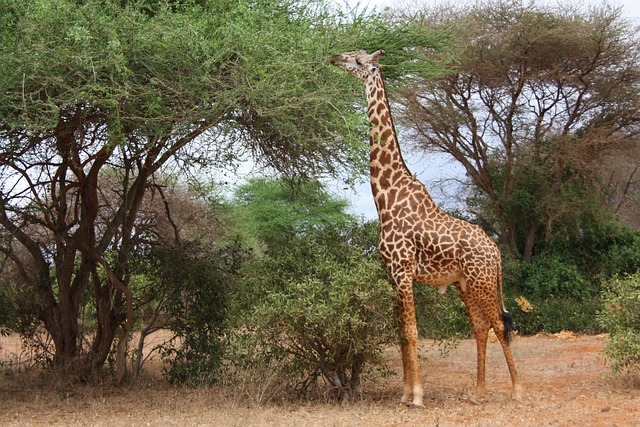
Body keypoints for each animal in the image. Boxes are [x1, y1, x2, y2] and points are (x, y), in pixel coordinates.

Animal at [330, 49, 524, 408]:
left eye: (359, 61)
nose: (335, 57)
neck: (385, 197)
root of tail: (496, 252)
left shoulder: (403, 271)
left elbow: (412, 332)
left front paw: (418, 396)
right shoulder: (392, 274)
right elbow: (400, 334)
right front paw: (405, 394)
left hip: (483, 281)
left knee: (500, 324)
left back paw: (517, 390)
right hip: (465, 283)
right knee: (480, 326)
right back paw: (478, 392)